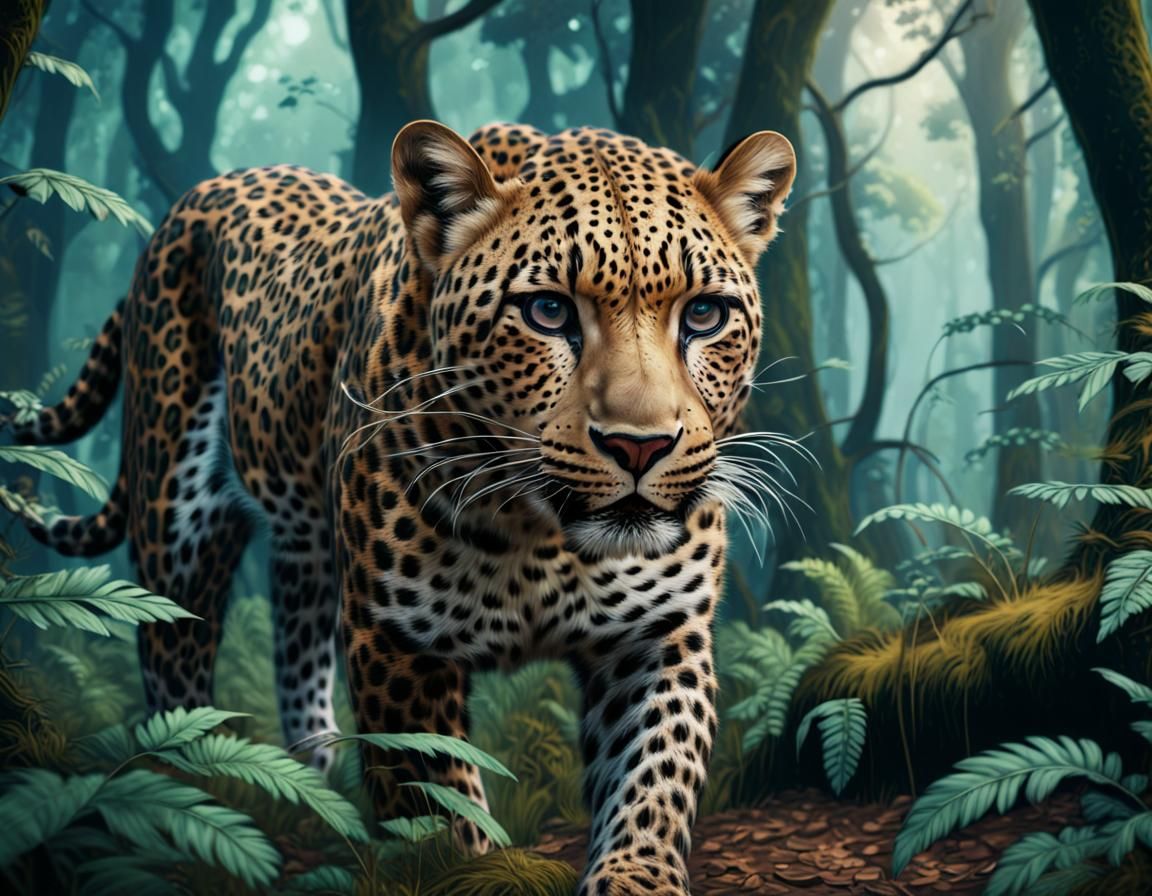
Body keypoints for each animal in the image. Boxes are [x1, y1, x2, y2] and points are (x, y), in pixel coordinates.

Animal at [6, 120, 796, 895]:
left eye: (703, 314)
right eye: (548, 311)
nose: (641, 446)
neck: (544, 537)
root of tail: (204, 192)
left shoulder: (661, 631)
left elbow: (655, 777)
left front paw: (637, 877)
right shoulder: (399, 641)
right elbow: (435, 805)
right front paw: (473, 869)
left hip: (306, 544)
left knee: (297, 639)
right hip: (178, 516)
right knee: (175, 663)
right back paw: (188, 793)